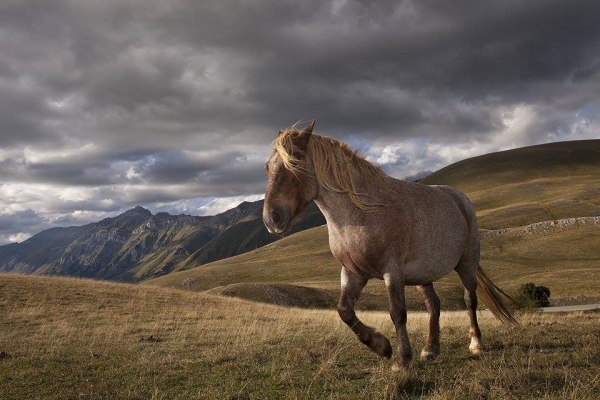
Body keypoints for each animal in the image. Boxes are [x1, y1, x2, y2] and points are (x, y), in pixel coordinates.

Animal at [260, 120, 516, 370]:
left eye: (295, 160)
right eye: (267, 167)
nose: (272, 219)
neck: (361, 213)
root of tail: (461, 200)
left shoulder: (391, 272)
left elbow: (397, 313)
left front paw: (402, 358)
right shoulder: (353, 273)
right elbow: (344, 311)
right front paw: (380, 346)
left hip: (467, 263)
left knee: (469, 299)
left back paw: (476, 343)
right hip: (424, 275)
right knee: (433, 304)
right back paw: (430, 349)